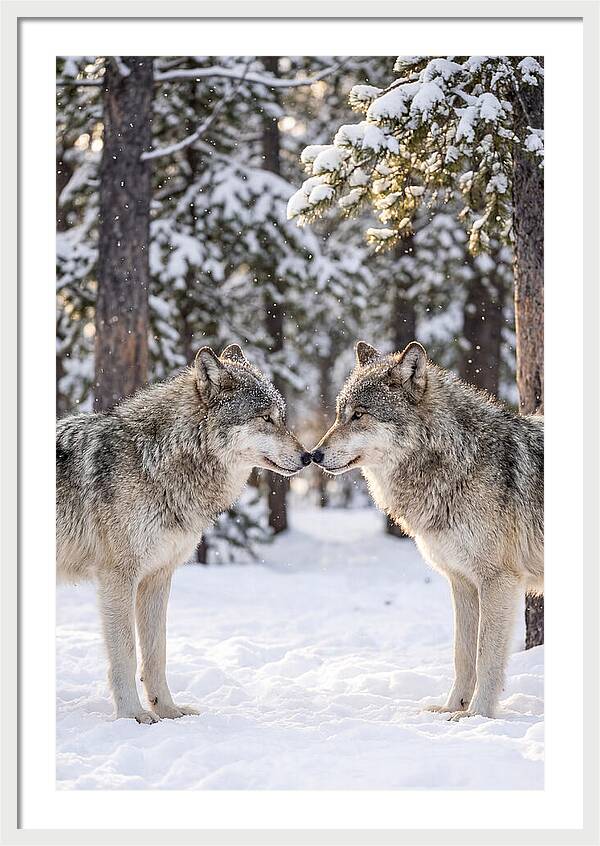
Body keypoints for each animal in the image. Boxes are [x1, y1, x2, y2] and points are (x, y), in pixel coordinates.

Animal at [57, 344, 311, 723]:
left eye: (281, 417)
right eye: (265, 418)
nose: (309, 456)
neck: (154, 462)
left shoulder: (158, 576)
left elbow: (156, 652)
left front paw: (168, 709)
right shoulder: (118, 577)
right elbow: (126, 652)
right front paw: (133, 715)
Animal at [312, 341, 544, 719]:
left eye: (359, 415)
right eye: (338, 415)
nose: (313, 455)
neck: (457, 461)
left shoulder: (499, 581)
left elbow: (486, 657)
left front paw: (477, 715)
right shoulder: (462, 582)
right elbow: (462, 655)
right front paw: (451, 708)